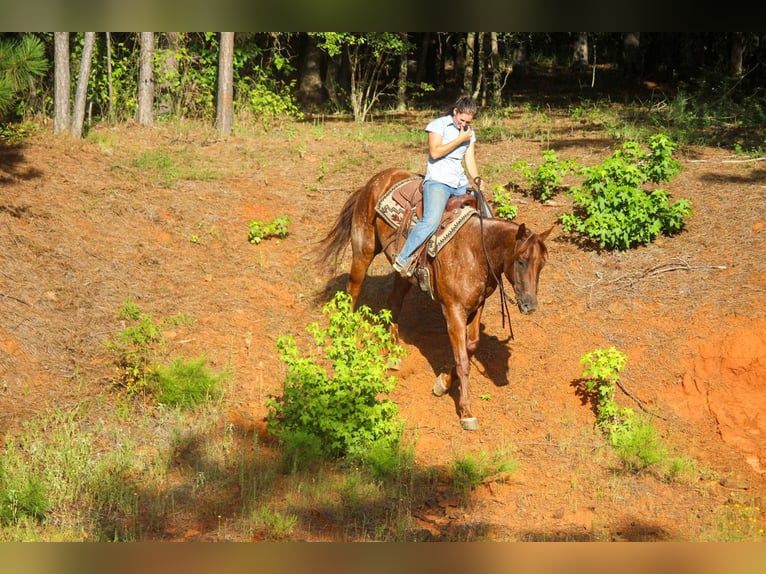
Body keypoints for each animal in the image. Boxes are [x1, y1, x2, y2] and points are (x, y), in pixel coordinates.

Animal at [318, 169, 552, 430]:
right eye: (521, 261)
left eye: (542, 264)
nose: (530, 305)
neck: (475, 251)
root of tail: (374, 180)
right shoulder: (454, 311)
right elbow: (462, 359)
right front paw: (466, 411)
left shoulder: (477, 305)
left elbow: (472, 345)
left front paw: (443, 382)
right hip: (364, 249)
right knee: (353, 289)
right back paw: (346, 335)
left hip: (404, 275)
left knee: (393, 303)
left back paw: (394, 353)